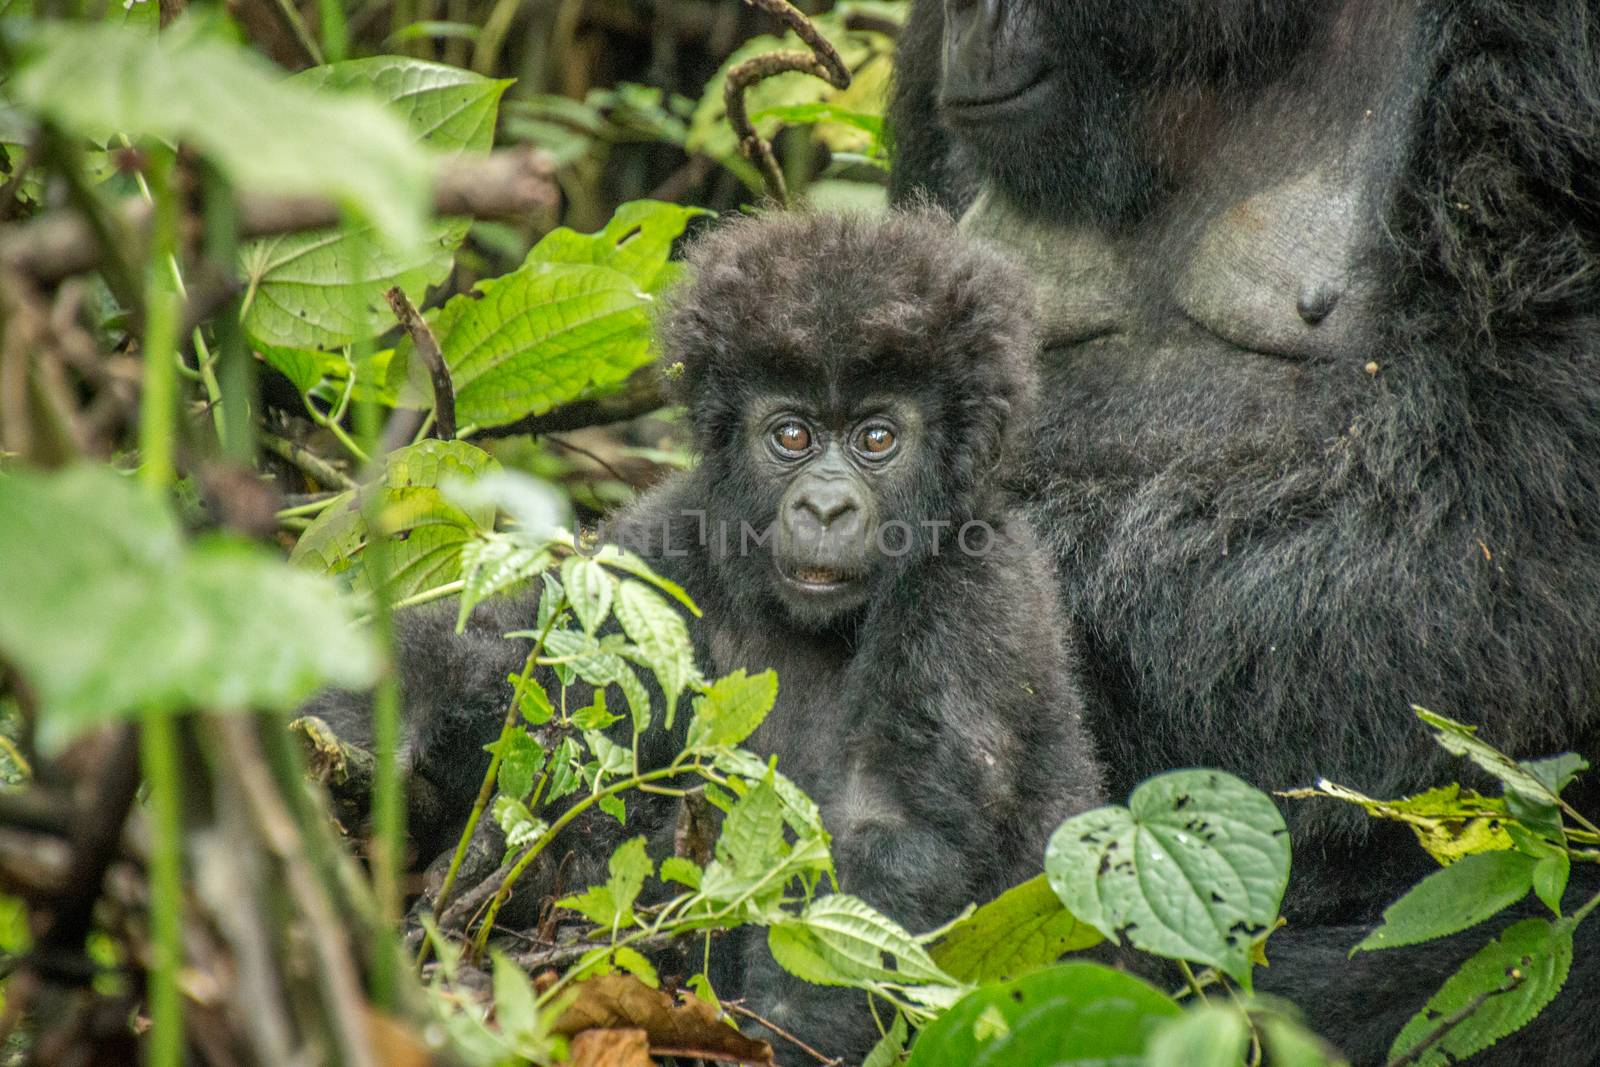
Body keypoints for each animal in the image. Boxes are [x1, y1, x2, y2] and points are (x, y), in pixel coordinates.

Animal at [310, 207, 1100, 1062]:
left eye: (876, 439)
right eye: (791, 435)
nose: (825, 507)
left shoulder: (977, 589)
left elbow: (889, 823)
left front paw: (788, 1035)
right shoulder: (657, 545)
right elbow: (534, 682)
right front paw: (369, 704)